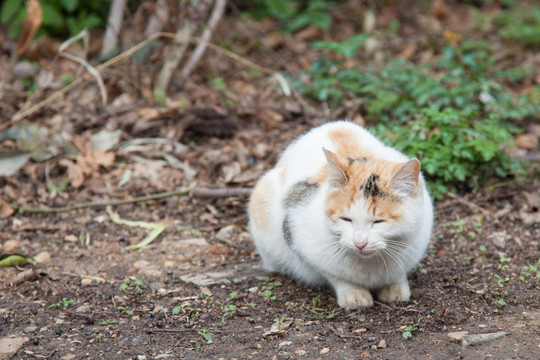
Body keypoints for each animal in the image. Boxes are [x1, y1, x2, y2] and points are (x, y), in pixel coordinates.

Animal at [249, 121, 434, 310]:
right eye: (346, 219)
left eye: (378, 221)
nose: (360, 243)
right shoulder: (295, 229)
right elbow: (336, 275)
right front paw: (354, 294)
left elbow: (397, 273)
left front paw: (395, 287)